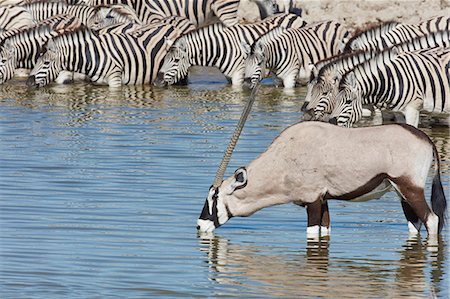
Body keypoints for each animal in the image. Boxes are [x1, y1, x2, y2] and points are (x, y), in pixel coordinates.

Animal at [27, 16, 194, 87]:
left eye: (46, 63)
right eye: (36, 61)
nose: (29, 83)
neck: (92, 57)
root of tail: (171, 25)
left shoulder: (115, 81)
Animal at [154, 13, 306, 87]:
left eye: (176, 60)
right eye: (164, 59)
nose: (156, 82)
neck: (221, 48)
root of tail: (294, 15)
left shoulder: (239, 75)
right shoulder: (229, 76)